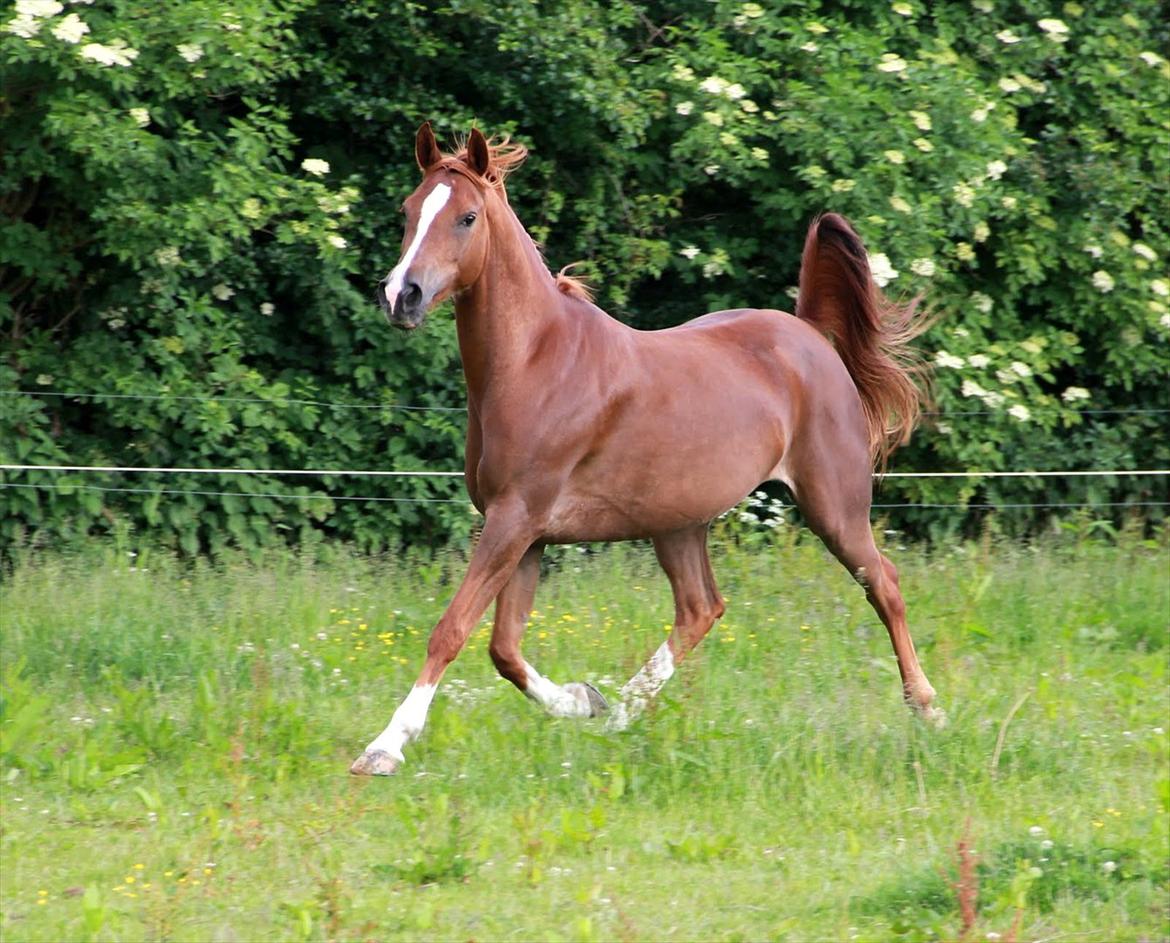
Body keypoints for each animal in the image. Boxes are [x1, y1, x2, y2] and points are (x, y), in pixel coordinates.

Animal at [351, 123, 935, 776]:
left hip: (833, 506)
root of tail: (808, 332)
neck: (535, 364)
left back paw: (928, 708)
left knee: (883, 584)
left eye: (467, 217)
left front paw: (384, 748)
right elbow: (504, 648)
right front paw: (585, 700)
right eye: (408, 211)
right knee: (701, 608)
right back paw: (621, 714)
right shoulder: (524, 534)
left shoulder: (515, 520)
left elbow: (452, 630)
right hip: (678, 523)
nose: (402, 295)